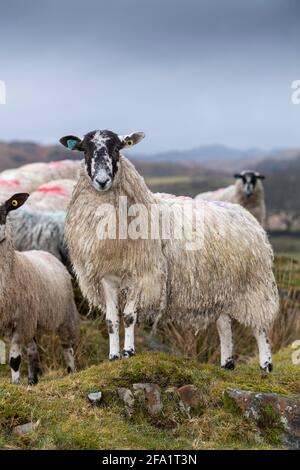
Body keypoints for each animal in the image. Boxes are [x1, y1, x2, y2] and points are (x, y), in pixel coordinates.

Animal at [0, 193, 79, 384]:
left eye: (4, 212)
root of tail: (43, 252)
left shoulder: (20, 320)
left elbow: (14, 360)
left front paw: (15, 384)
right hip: (33, 320)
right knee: (32, 349)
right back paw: (32, 380)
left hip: (65, 316)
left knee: (67, 347)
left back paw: (71, 372)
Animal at [60, 129, 278, 370]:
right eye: (84, 150)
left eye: (117, 148)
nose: (102, 181)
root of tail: (245, 215)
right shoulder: (107, 277)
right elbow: (111, 321)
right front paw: (113, 356)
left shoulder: (143, 274)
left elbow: (129, 316)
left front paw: (129, 353)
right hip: (221, 287)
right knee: (224, 325)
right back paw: (227, 365)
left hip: (254, 285)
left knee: (260, 326)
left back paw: (266, 366)